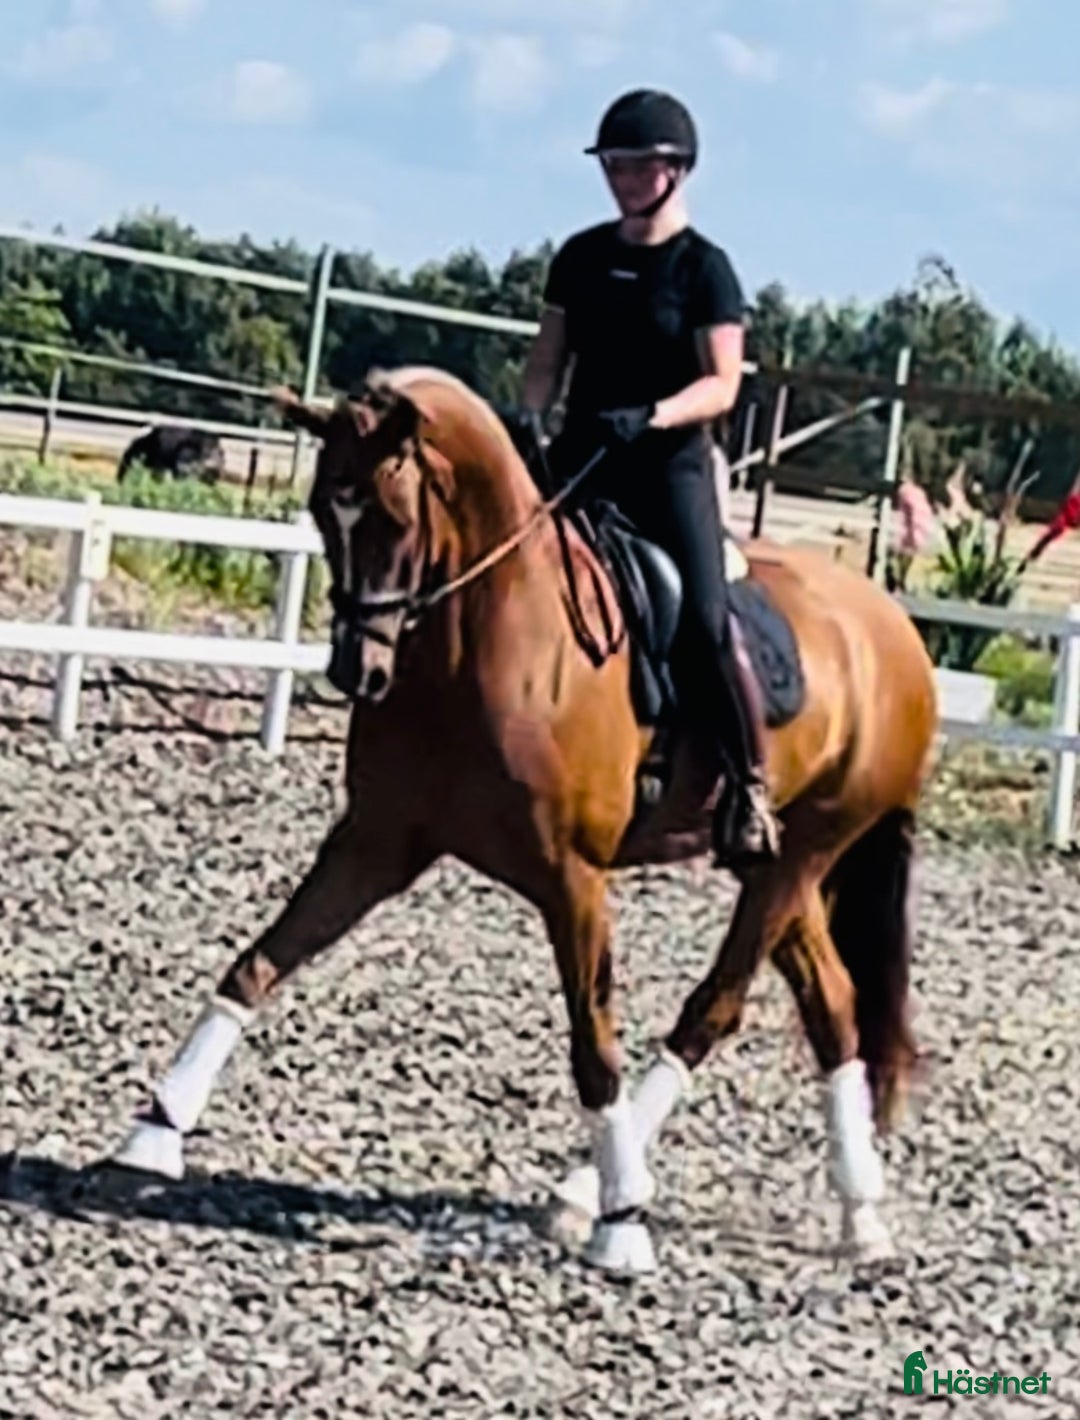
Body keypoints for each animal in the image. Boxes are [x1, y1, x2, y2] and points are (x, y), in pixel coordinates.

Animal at [104, 363, 938, 1277]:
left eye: (395, 518)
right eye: (325, 508)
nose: (355, 671)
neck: (479, 644)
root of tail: (894, 628)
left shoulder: (573, 878)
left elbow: (594, 1043)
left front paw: (623, 1222)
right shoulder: (376, 842)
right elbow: (258, 963)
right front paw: (156, 1129)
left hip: (804, 852)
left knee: (715, 1008)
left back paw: (589, 1194)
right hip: (777, 865)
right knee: (833, 1007)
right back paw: (861, 1215)